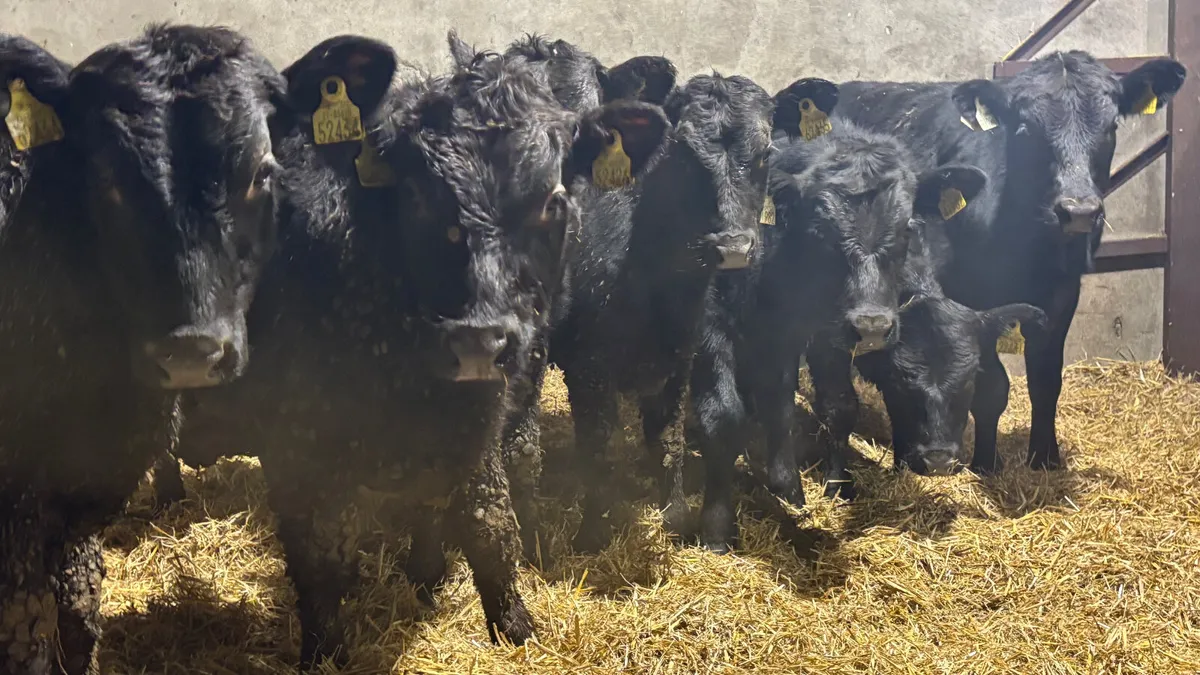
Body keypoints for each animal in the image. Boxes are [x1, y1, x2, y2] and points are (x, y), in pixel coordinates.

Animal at [169, 32, 673, 668]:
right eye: (419, 196)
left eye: (554, 198)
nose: (483, 337)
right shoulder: (295, 439)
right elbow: (319, 556)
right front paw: (325, 652)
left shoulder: (478, 419)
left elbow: (489, 520)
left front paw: (508, 623)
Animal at [689, 119, 987, 552]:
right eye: (822, 233)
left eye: (907, 230)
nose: (873, 325)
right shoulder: (710, 322)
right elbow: (722, 415)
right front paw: (716, 529)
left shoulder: (808, 332)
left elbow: (822, 405)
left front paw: (813, 489)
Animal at [832, 51, 1186, 474]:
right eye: (1025, 129)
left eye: (1111, 125)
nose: (1079, 211)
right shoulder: (965, 300)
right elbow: (990, 386)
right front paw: (985, 463)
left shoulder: (1062, 294)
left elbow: (1046, 380)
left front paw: (1045, 457)